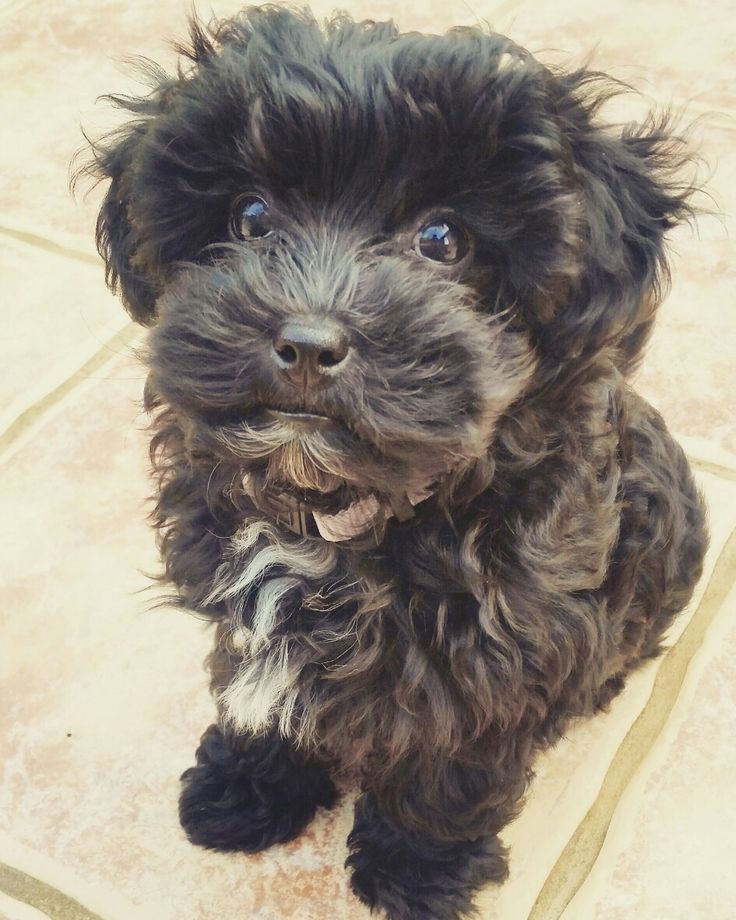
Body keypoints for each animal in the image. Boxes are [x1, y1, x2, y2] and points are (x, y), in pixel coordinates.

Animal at [85, 9, 708, 920]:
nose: (309, 343)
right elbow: (252, 686)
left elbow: (447, 774)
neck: (335, 514)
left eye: (442, 238)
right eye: (251, 217)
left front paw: (416, 875)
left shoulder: (493, 653)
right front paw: (245, 790)